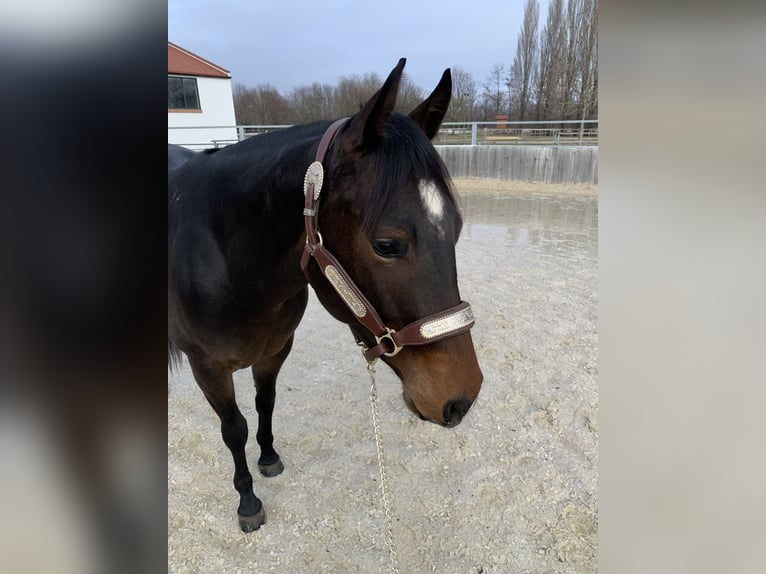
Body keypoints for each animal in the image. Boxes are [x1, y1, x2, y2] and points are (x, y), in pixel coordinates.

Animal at [168, 58, 483, 532]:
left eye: (458, 228)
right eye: (386, 245)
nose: (462, 399)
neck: (226, 257)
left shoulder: (274, 351)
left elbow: (265, 403)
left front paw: (269, 457)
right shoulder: (207, 367)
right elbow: (234, 429)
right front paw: (248, 501)